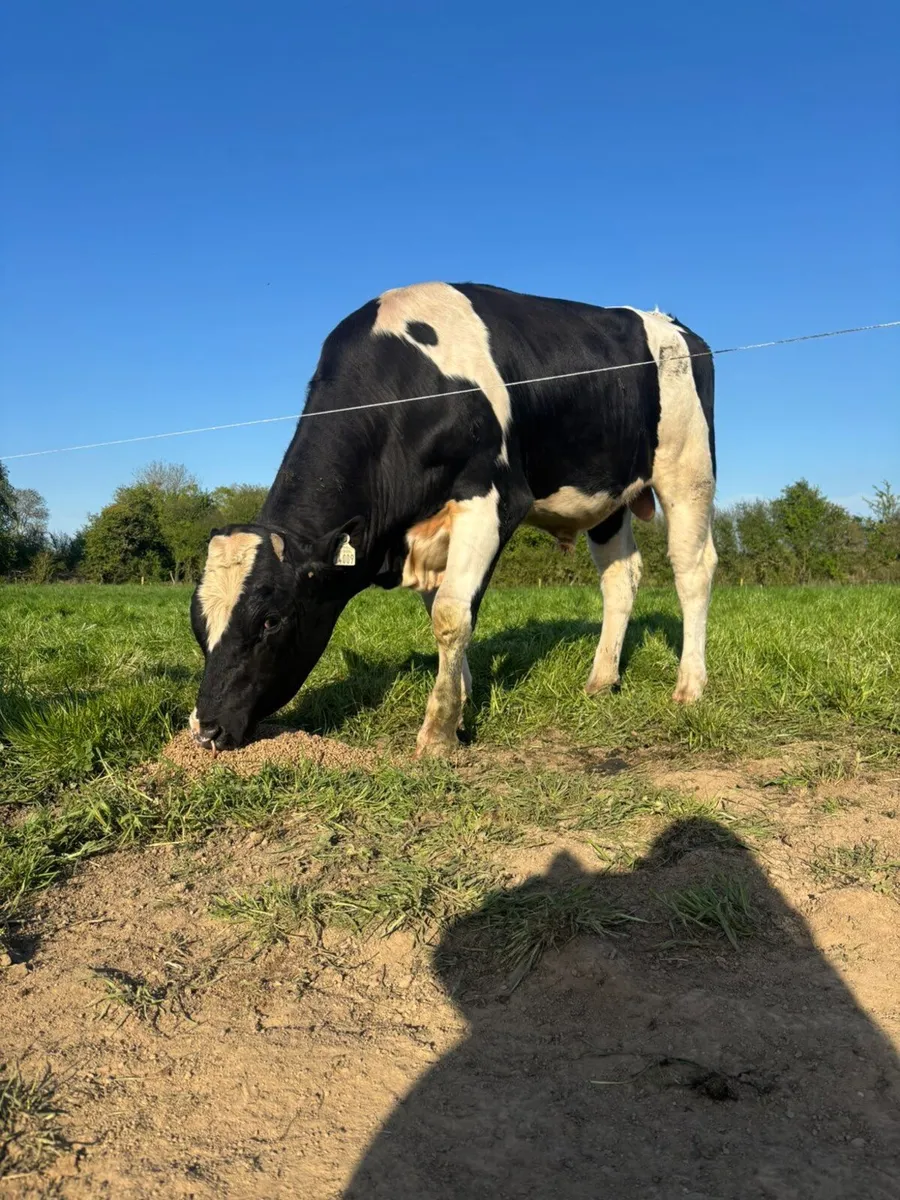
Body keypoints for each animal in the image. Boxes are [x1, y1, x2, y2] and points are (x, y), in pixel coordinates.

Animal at [189, 282, 717, 756]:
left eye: (271, 620)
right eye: (197, 624)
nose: (206, 729)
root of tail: (671, 324)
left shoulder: (491, 497)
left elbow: (450, 615)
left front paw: (438, 733)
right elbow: (444, 610)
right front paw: (461, 706)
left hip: (688, 469)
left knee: (692, 570)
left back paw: (690, 687)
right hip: (607, 494)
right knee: (620, 576)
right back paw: (602, 680)